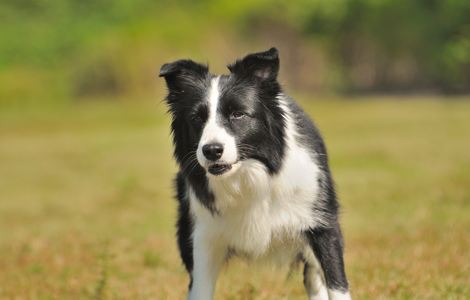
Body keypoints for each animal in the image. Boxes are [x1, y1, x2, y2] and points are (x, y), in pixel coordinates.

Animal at [160, 48, 350, 298]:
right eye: (197, 118)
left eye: (238, 114)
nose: (211, 150)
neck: (249, 176)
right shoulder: (203, 236)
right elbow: (200, 289)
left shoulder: (323, 226)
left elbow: (337, 285)